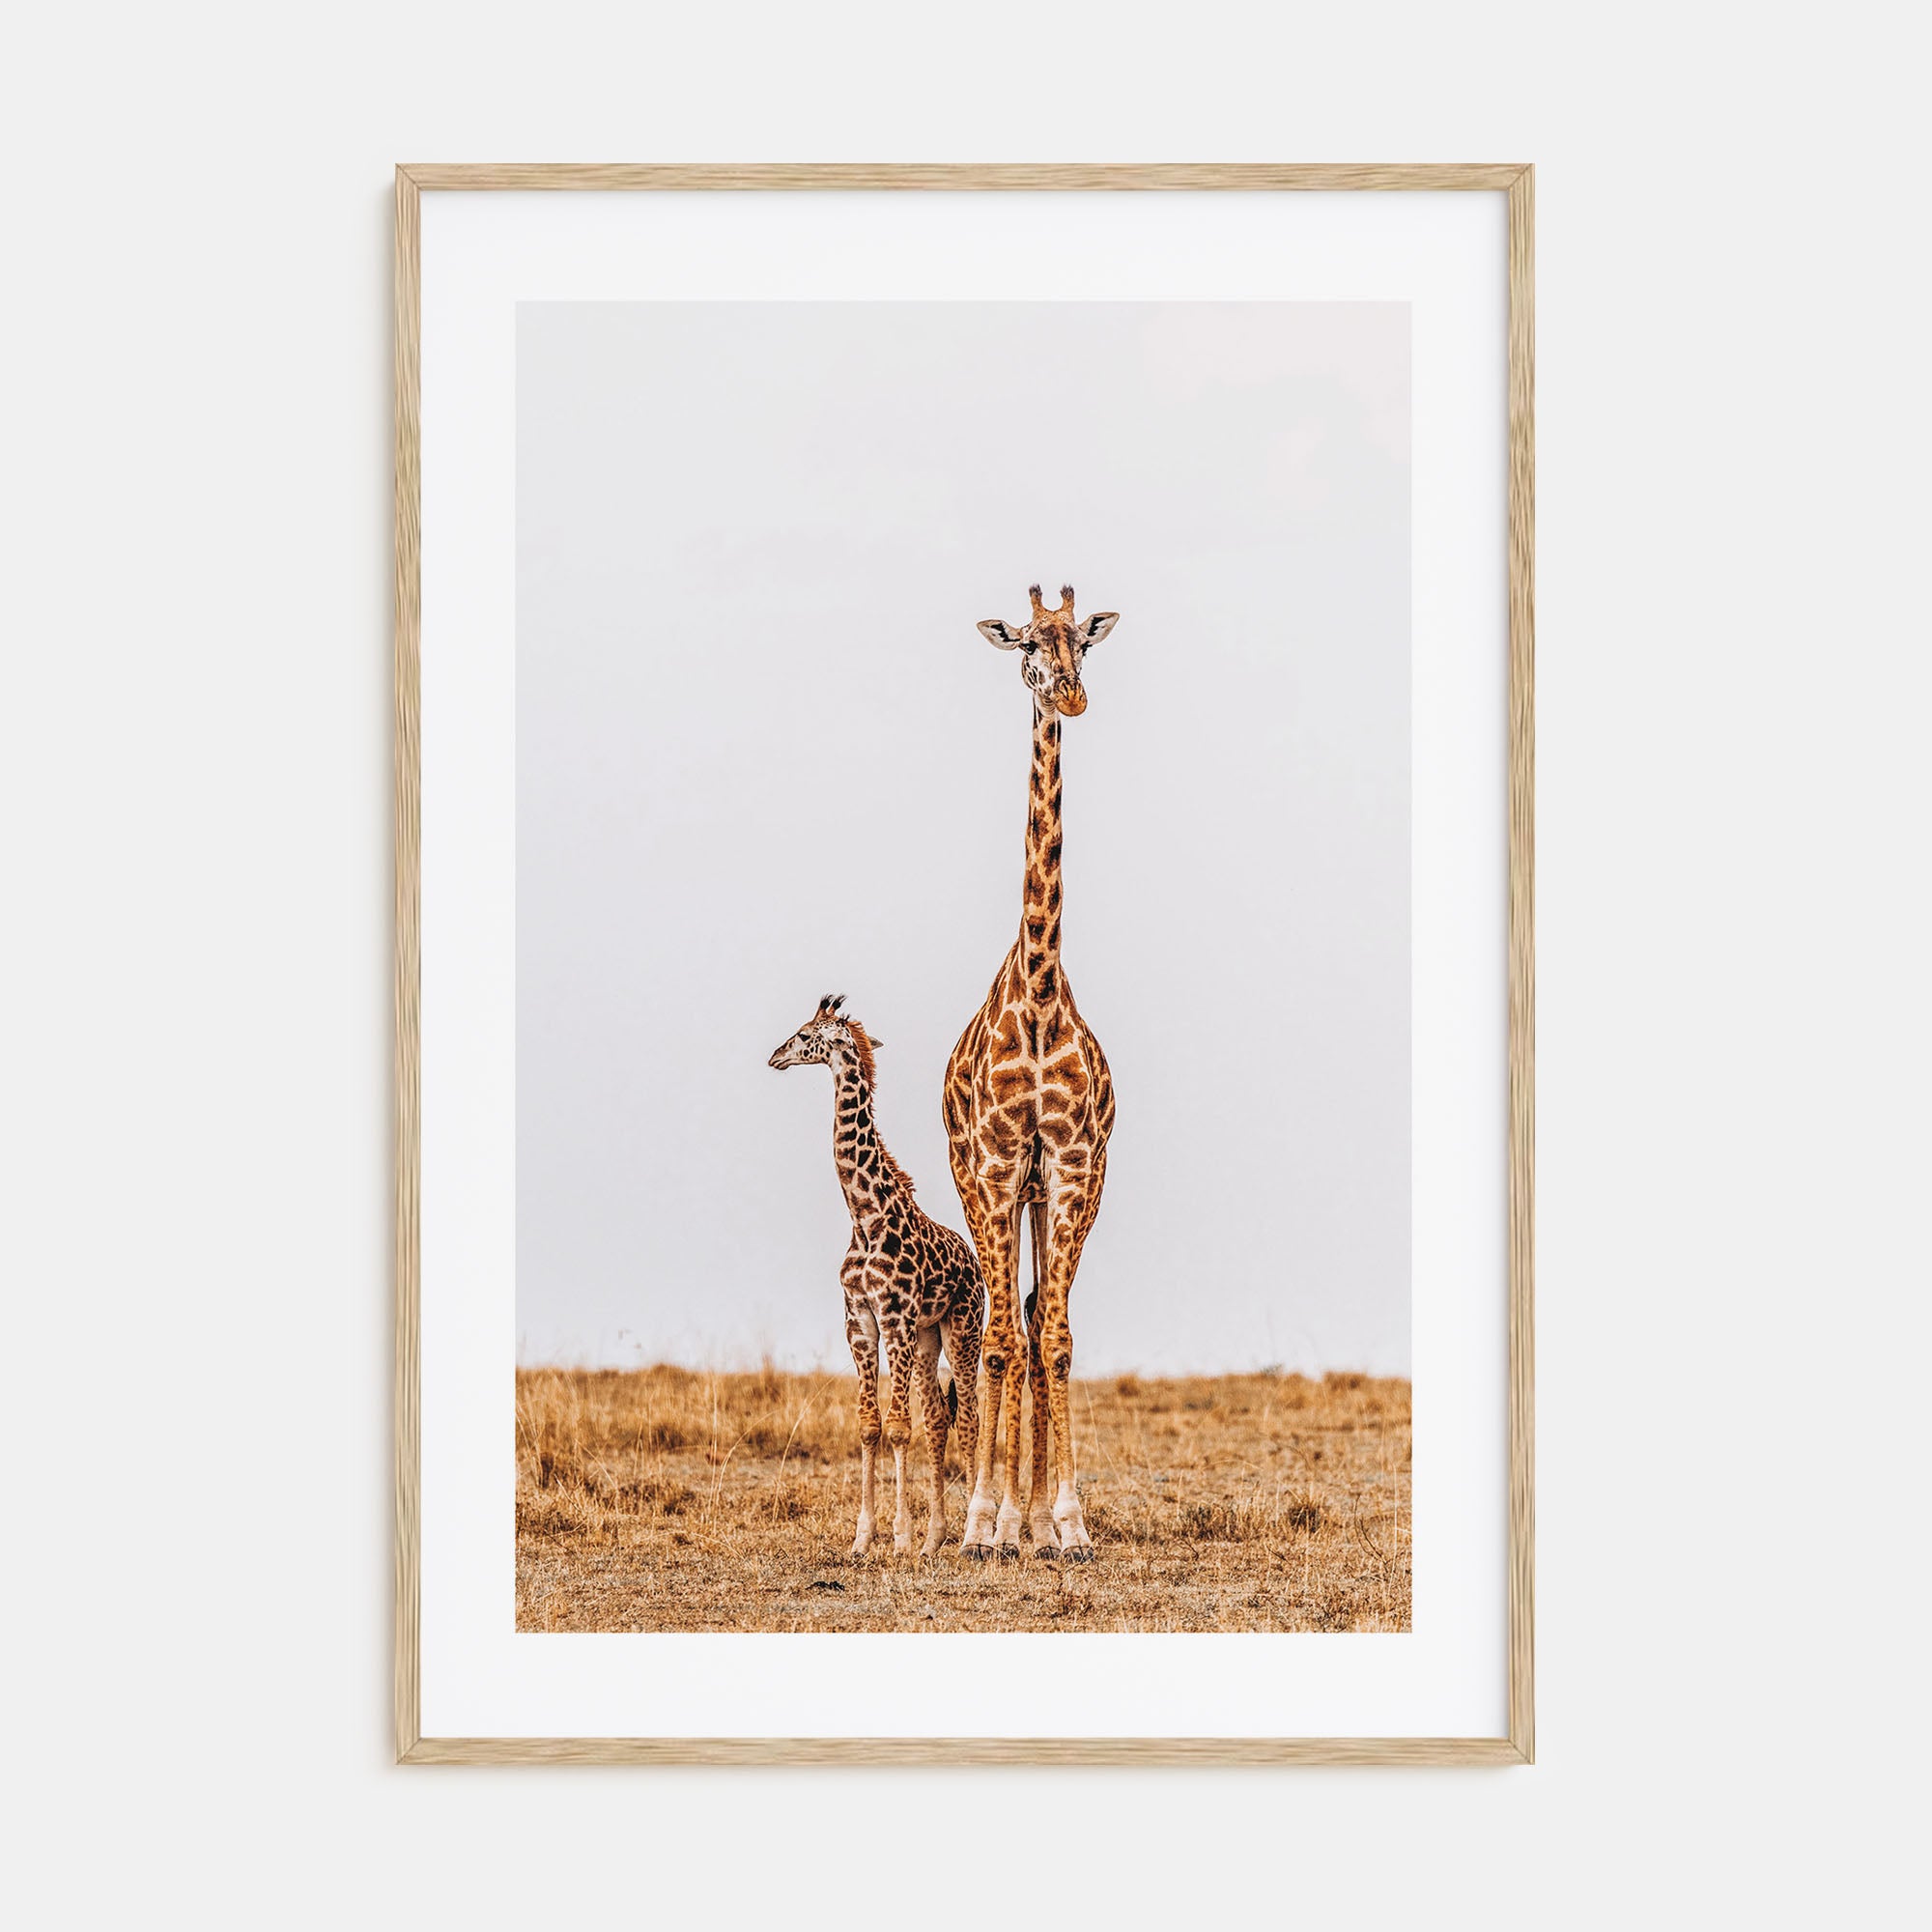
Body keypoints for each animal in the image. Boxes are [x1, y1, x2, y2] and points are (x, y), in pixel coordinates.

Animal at [769, 995, 984, 1557]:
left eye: (805, 1035)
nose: (775, 1056)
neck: (865, 1217)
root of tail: (974, 1262)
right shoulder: (859, 1320)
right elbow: (870, 1426)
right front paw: (864, 1538)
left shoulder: (896, 1318)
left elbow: (899, 1427)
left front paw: (900, 1538)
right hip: (930, 1337)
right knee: (939, 1419)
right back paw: (936, 1538)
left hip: (962, 1327)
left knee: (970, 1416)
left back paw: (971, 1533)